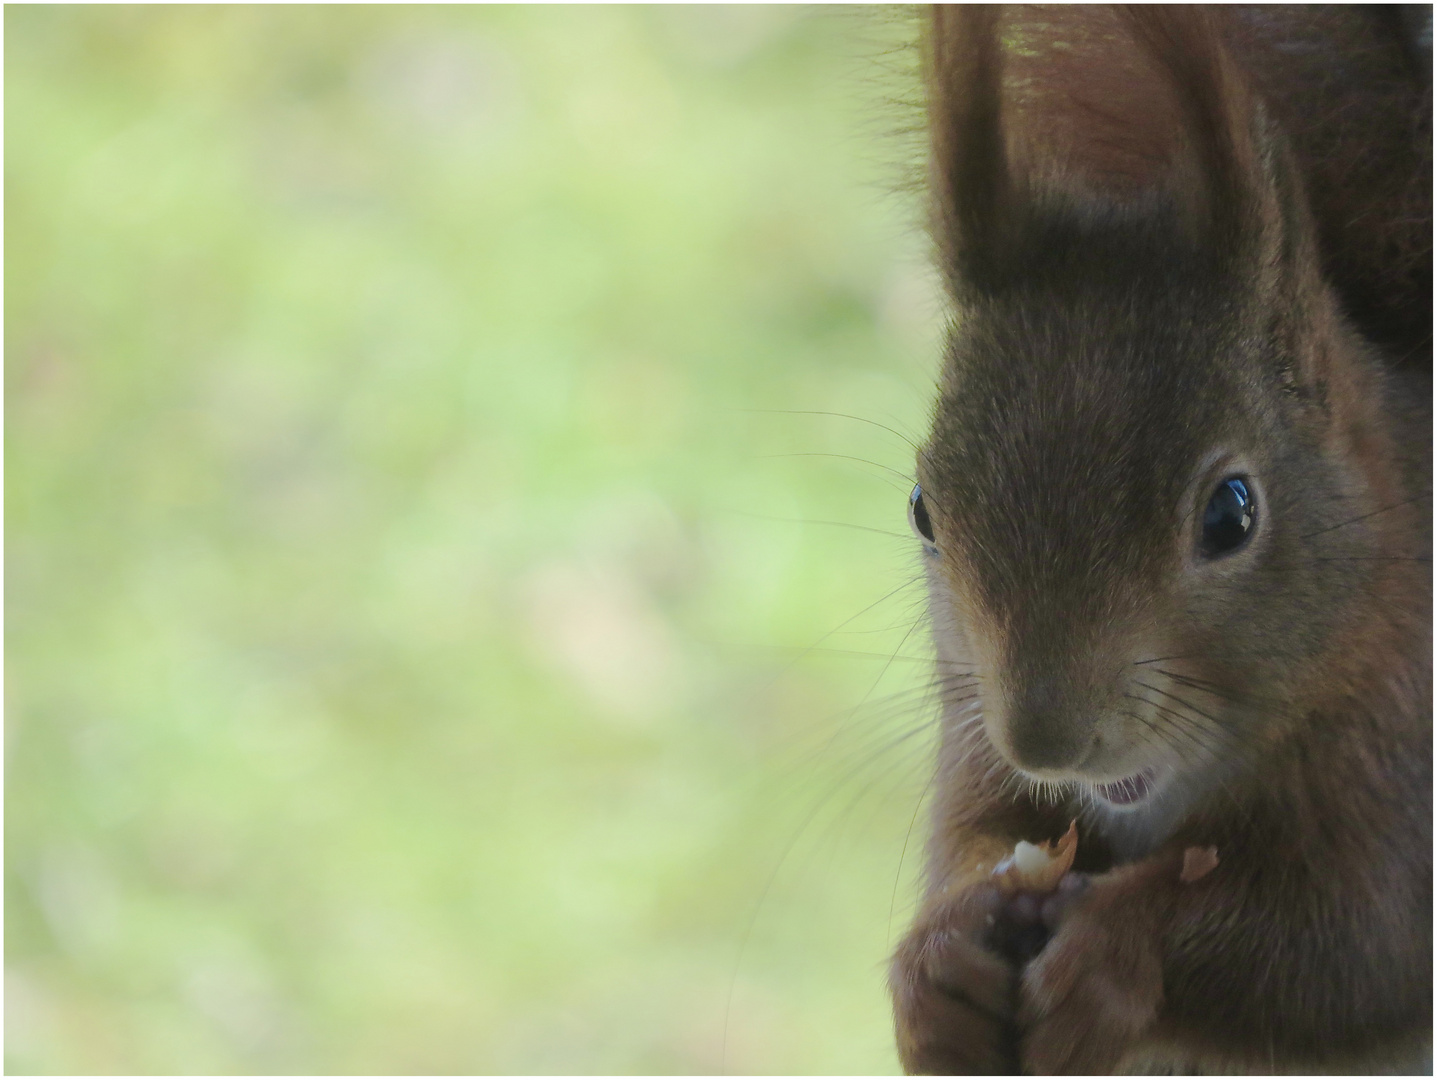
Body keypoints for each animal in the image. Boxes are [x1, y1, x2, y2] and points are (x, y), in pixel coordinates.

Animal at [890, 6, 1431, 1074]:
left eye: (1231, 512)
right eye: (923, 508)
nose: (1045, 741)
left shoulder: (1404, 762)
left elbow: (1352, 938)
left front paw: (1113, 952)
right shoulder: (973, 733)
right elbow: (974, 834)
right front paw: (938, 962)